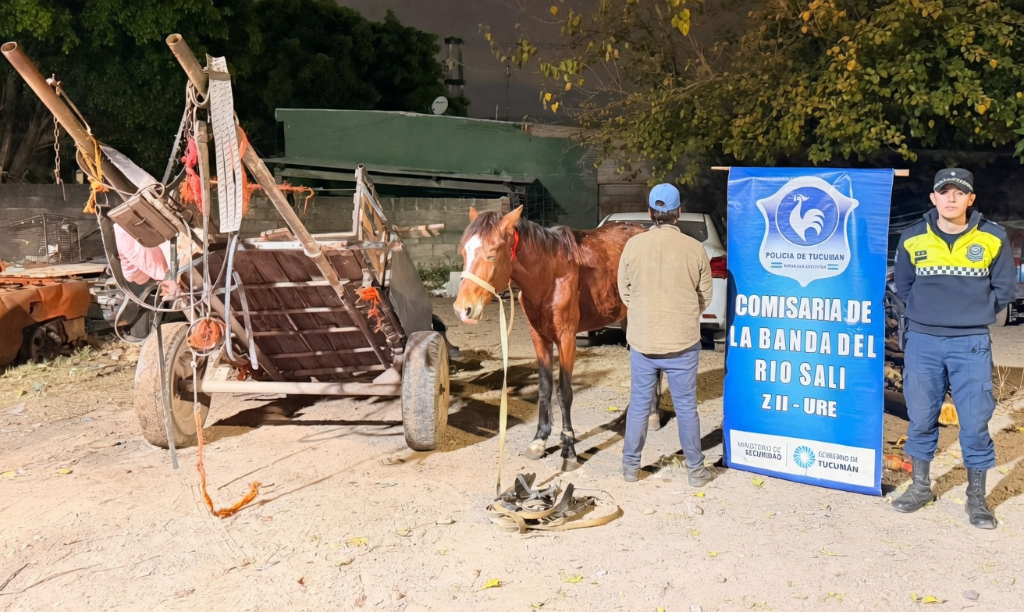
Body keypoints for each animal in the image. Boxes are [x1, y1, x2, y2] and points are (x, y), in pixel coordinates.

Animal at [453, 206, 645, 471]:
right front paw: (540, 440)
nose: (463, 309)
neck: (550, 275)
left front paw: (569, 449)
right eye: (463, 251)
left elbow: (564, 392)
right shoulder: (539, 337)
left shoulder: (567, 338)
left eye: (492, 255)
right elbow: (545, 387)